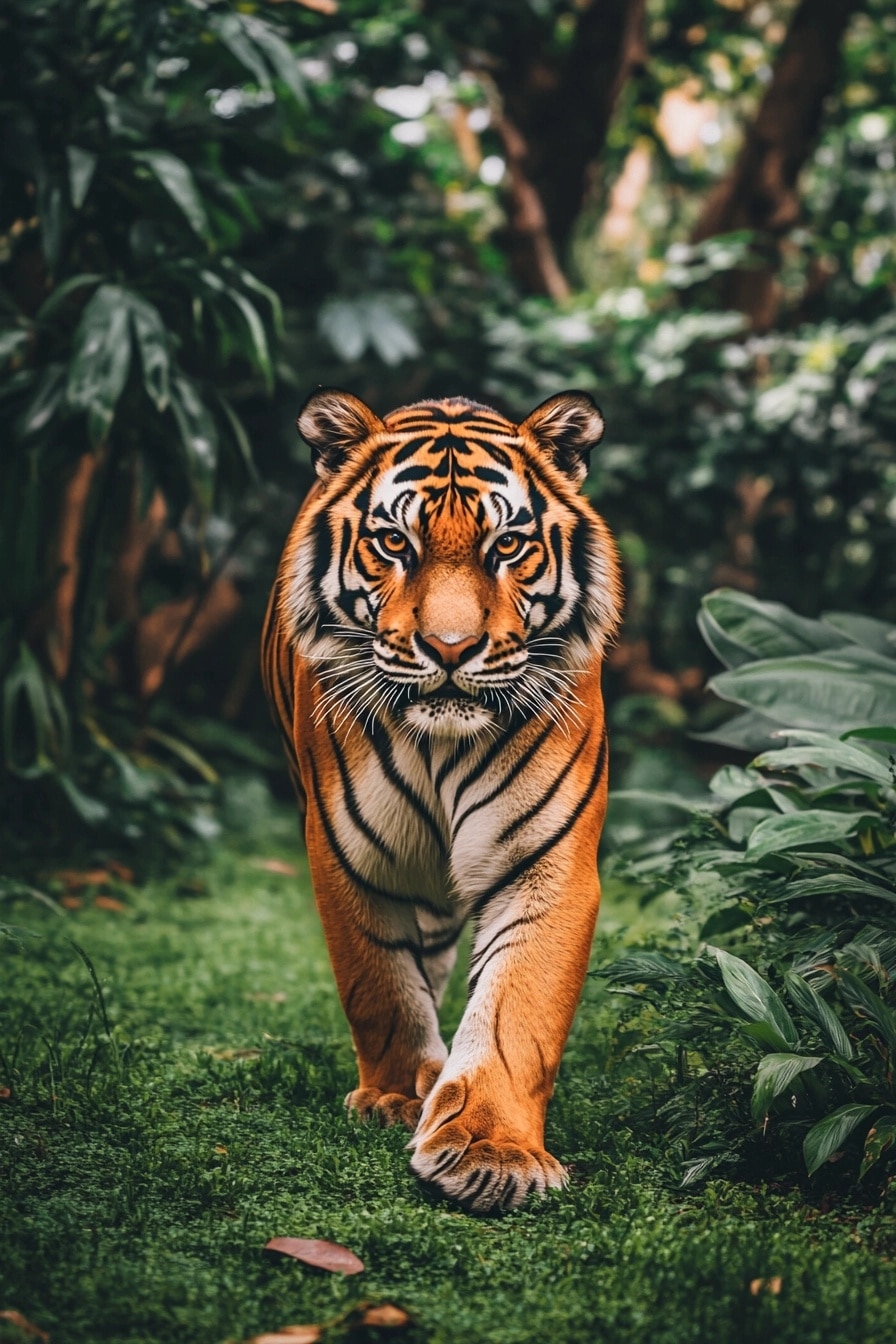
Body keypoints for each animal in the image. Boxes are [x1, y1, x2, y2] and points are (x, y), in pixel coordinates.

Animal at [261, 387, 622, 1214]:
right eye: (395, 544)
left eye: (508, 546)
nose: (451, 649)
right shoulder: (348, 856)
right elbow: (381, 985)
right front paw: (398, 1096)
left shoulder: (546, 865)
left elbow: (517, 1009)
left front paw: (492, 1152)